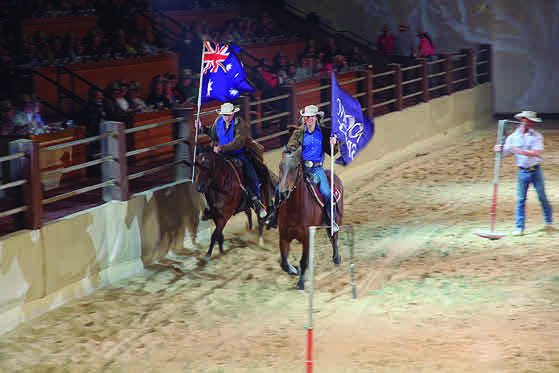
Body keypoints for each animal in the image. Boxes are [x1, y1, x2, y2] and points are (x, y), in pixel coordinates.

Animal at [278, 150, 344, 290]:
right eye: (280, 166)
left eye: (295, 167)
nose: (283, 193)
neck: (294, 209)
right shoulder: (283, 237)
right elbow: (284, 263)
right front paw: (294, 270)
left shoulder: (306, 238)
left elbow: (303, 261)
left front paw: (301, 283)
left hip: (338, 217)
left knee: (334, 236)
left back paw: (336, 258)